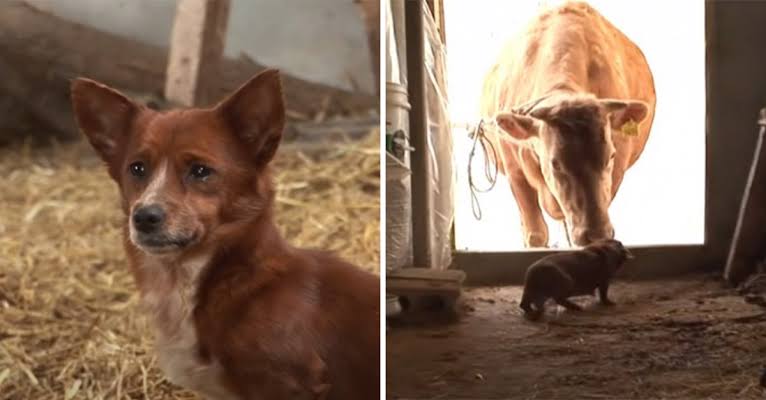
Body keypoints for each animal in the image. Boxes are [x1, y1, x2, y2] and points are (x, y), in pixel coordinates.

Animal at [479, 1, 656, 248]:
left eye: (610, 156)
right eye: (554, 163)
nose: (596, 233)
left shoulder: (617, 168)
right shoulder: (514, 171)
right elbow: (535, 234)